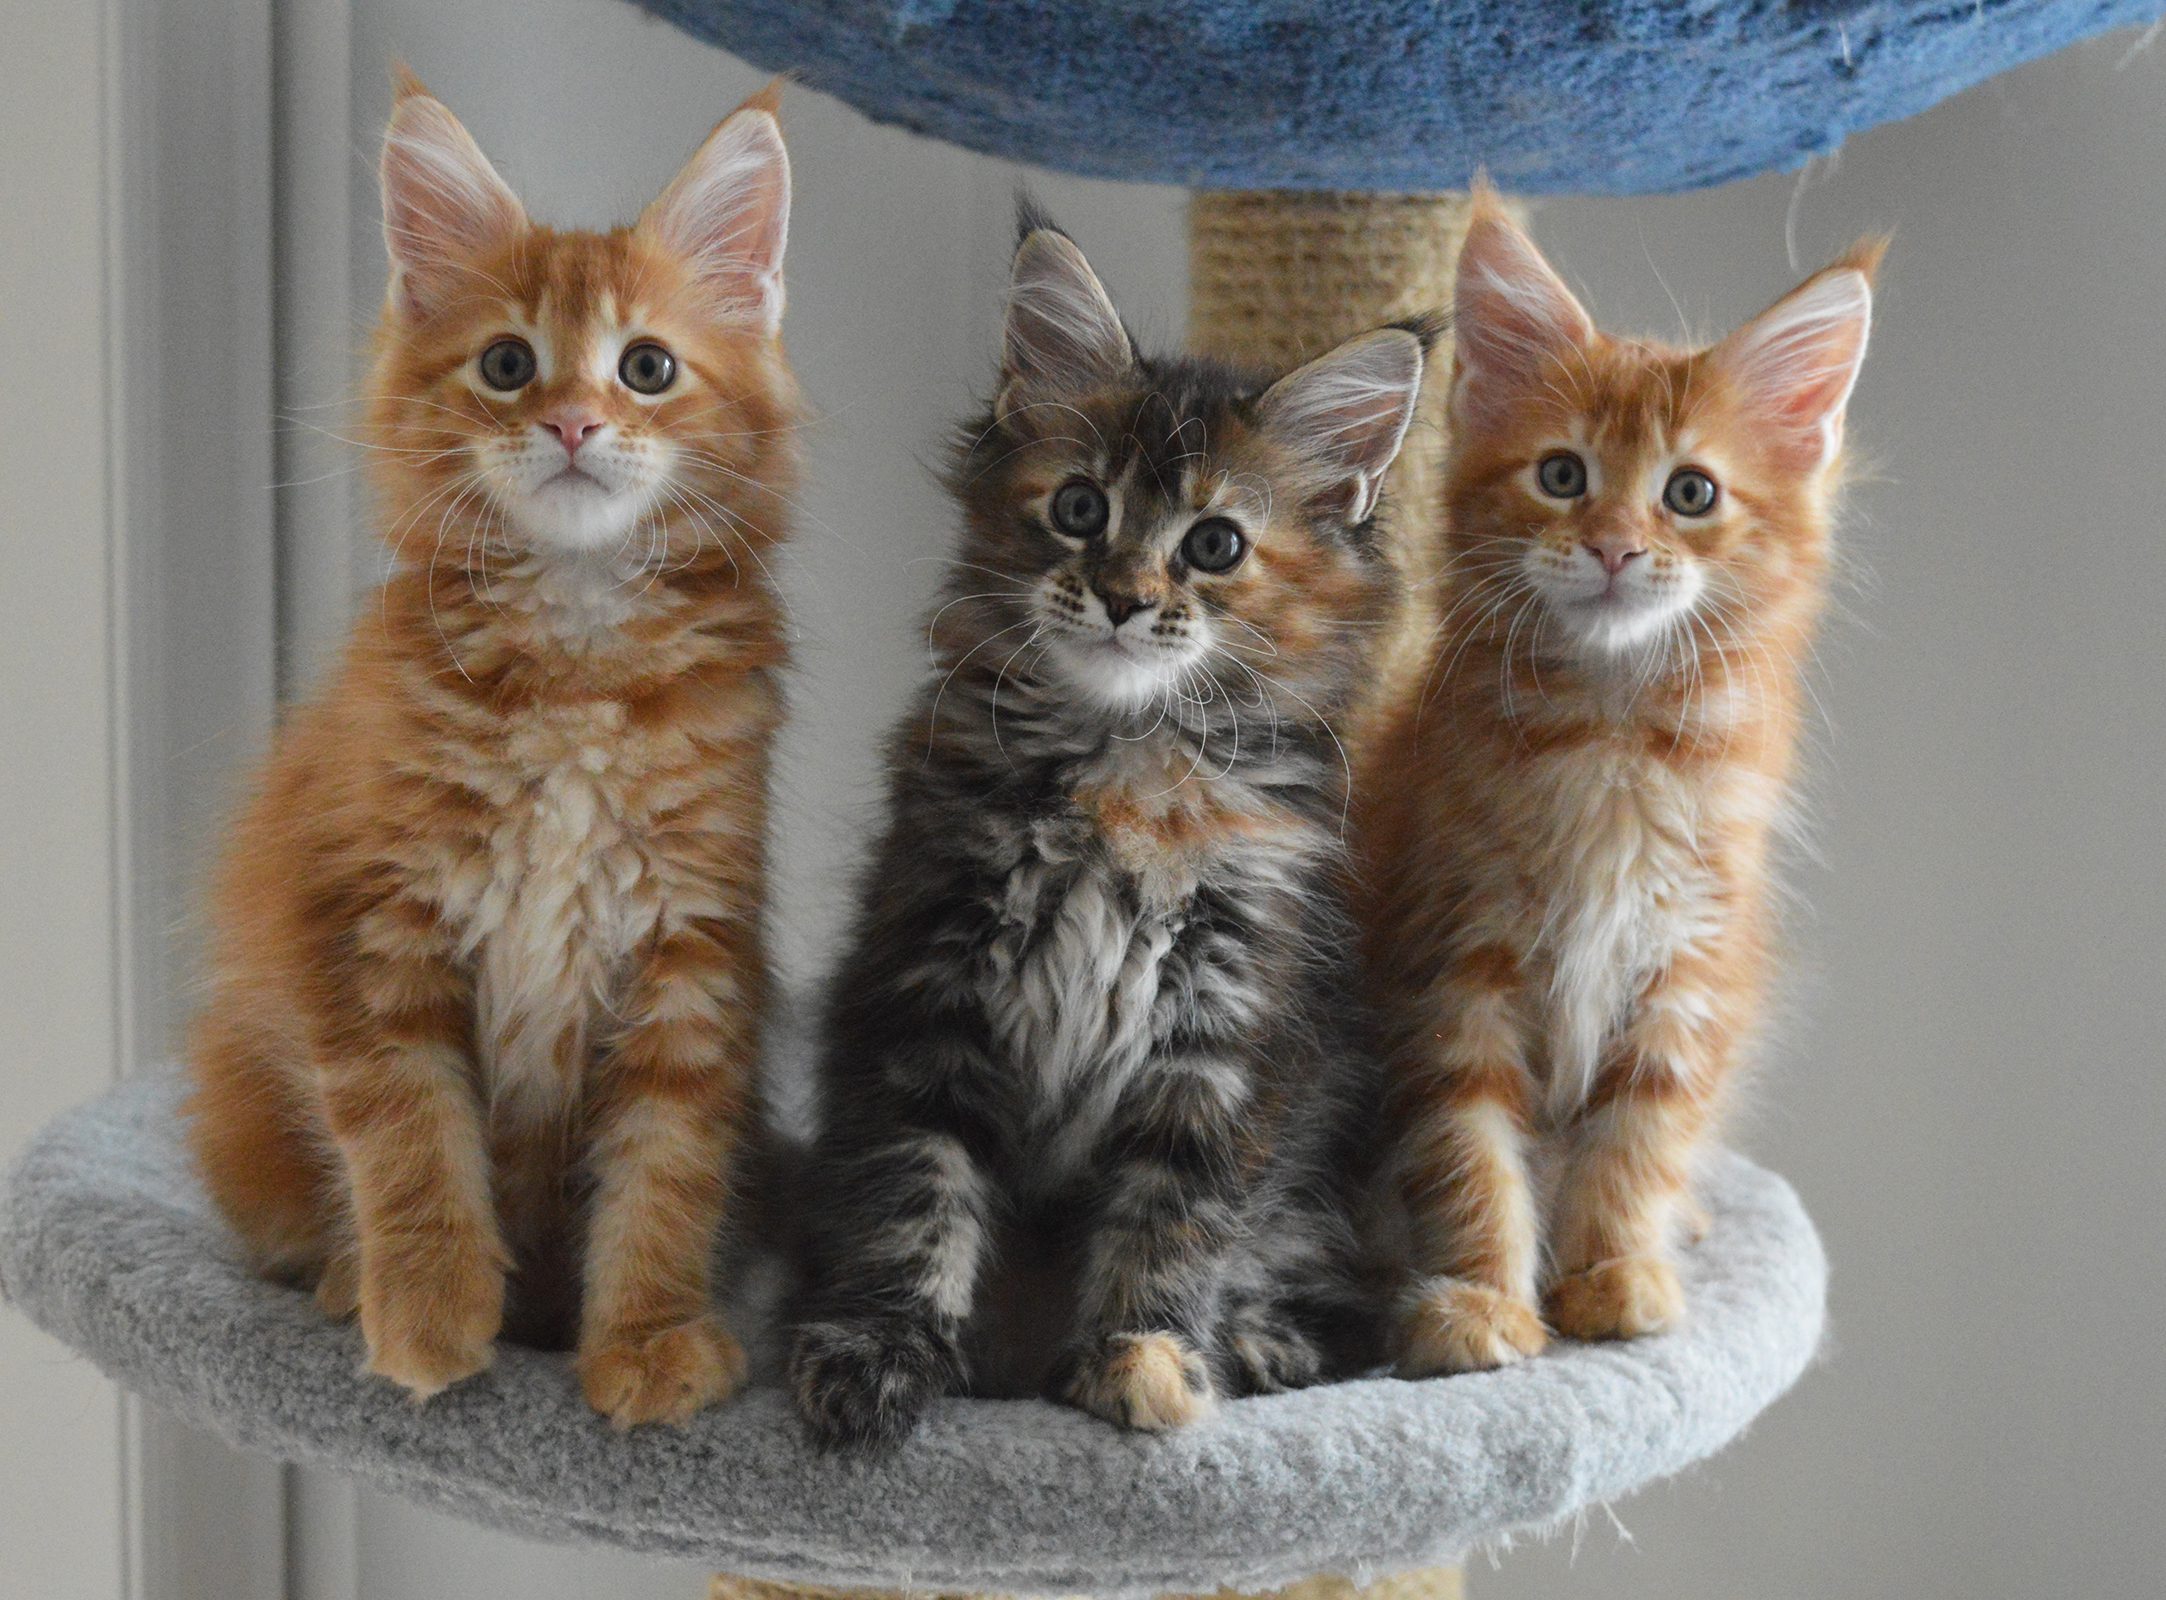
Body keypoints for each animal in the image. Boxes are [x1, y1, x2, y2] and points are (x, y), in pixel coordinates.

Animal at [185, 72, 796, 1426]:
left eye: (647, 367)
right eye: (508, 364)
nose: (570, 423)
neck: (573, 656)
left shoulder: (693, 946)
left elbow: (668, 1166)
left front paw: (646, 1337)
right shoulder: (367, 919)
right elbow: (409, 1135)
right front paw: (425, 1311)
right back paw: (342, 1282)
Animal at [786, 209, 1430, 1449]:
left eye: (1215, 544)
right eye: (1081, 509)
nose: (1127, 596)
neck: (1132, 772)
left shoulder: (1231, 1034)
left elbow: (1175, 1216)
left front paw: (1142, 1357)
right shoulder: (923, 989)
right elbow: (914, 1190)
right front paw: (885, 1350)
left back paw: (1258, 1341)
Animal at [1356, 190, 1881, 1374]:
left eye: (1690, 492)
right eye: (1563, 477)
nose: (1611, 548)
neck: (1611, 737)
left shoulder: (1689, 964)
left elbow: (1638, 1139)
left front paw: (1611, 1275)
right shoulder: (1454, 964)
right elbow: (1470, 1149)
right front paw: (1481, 1302)